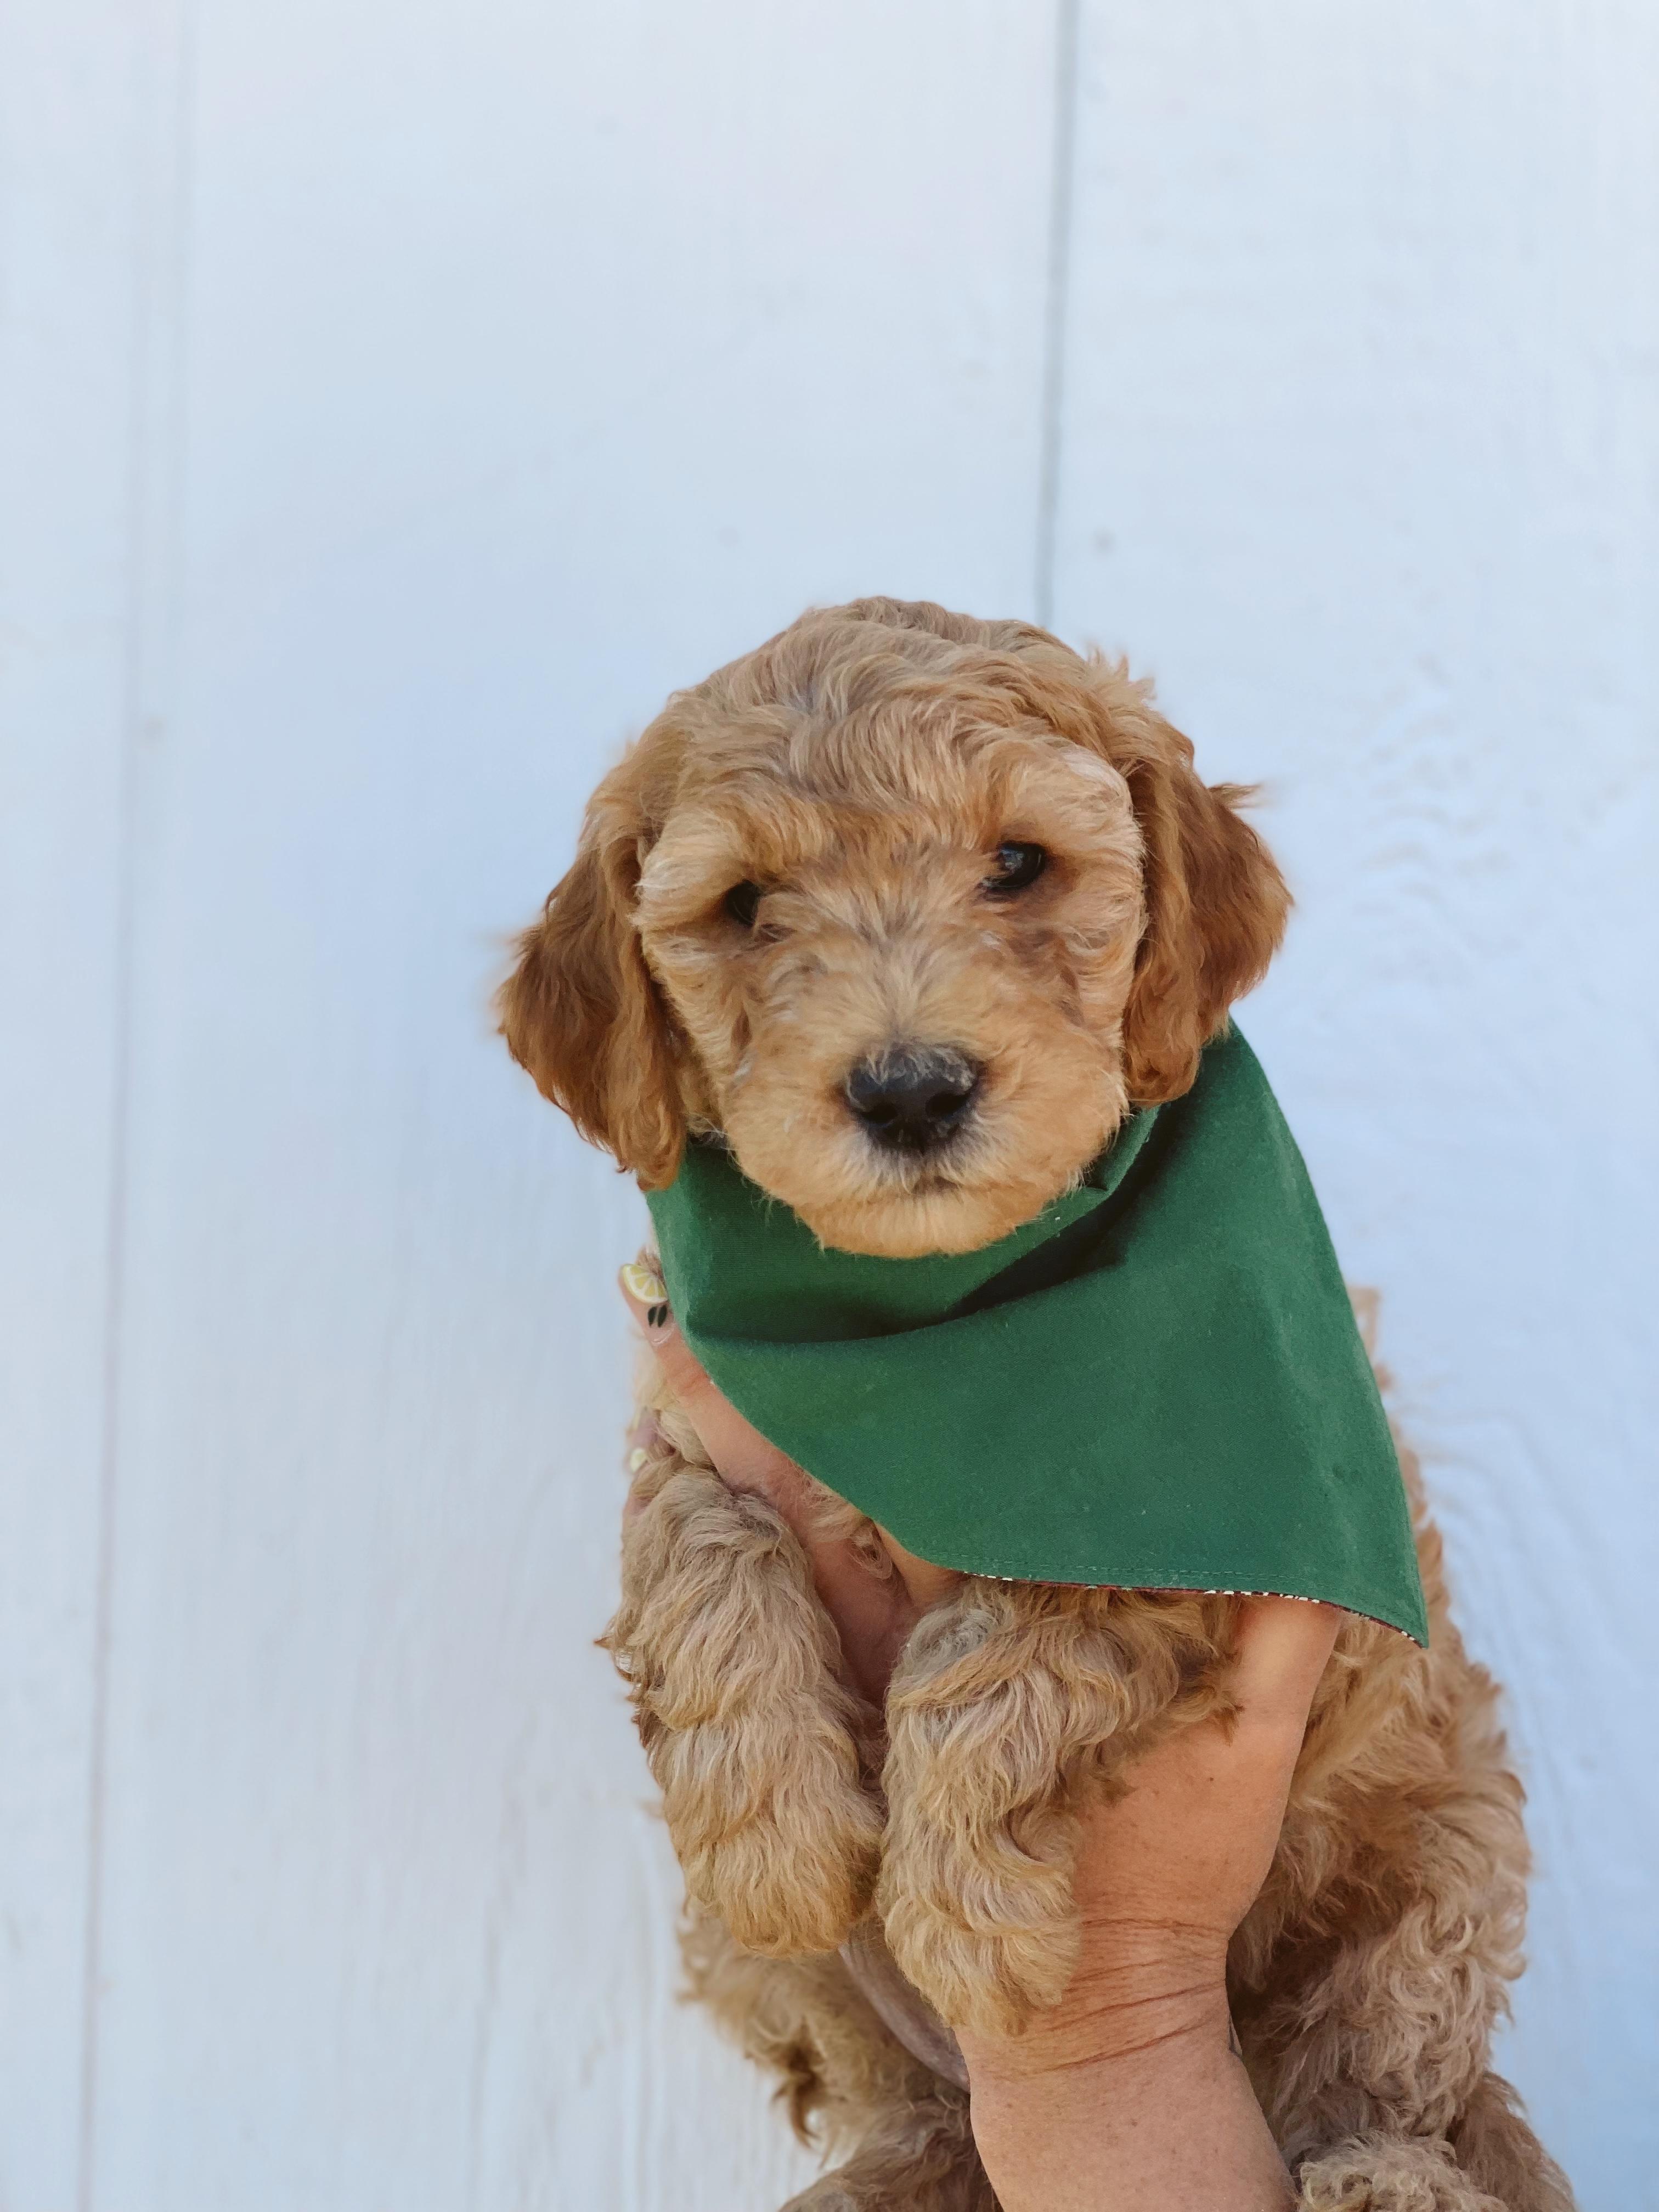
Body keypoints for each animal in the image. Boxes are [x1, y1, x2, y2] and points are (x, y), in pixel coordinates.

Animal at [500, 598, 1572, 2211]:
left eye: (1018, 865)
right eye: (745, 904)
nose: (909, 1091)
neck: (947, 1320)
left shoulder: (1191, 1511)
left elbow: (1008, 1633)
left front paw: (967, 1922)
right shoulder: (681, 1416)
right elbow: (698, 1559)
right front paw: (777, 1839)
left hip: (1444, 1853)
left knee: (1393, 2069)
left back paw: (1392, 2177)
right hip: (775, 1989)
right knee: (915, 2102)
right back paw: (888, 2175)